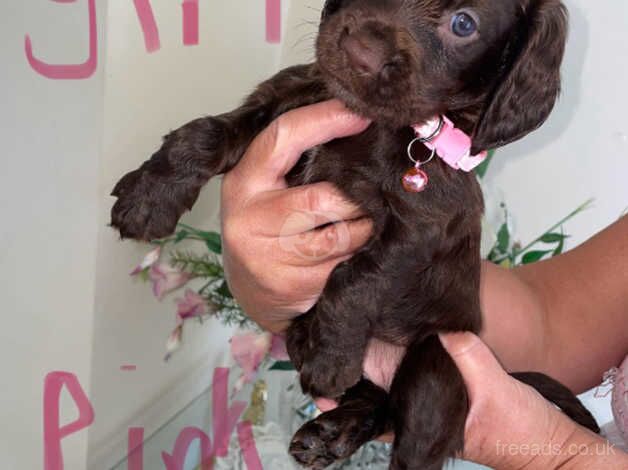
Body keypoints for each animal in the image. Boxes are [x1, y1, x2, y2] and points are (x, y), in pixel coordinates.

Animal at [111, 1, 600, 468]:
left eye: (464, 24)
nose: (362, 51)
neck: (371, 123)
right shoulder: (278, 102)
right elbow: (205, 132)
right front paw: (149, 196)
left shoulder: (419, 227)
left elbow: (357, 277)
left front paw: (330, 357)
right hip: (300, 335)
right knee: (375, 399)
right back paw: (330, 435)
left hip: (432, 367)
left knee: (410, 438)